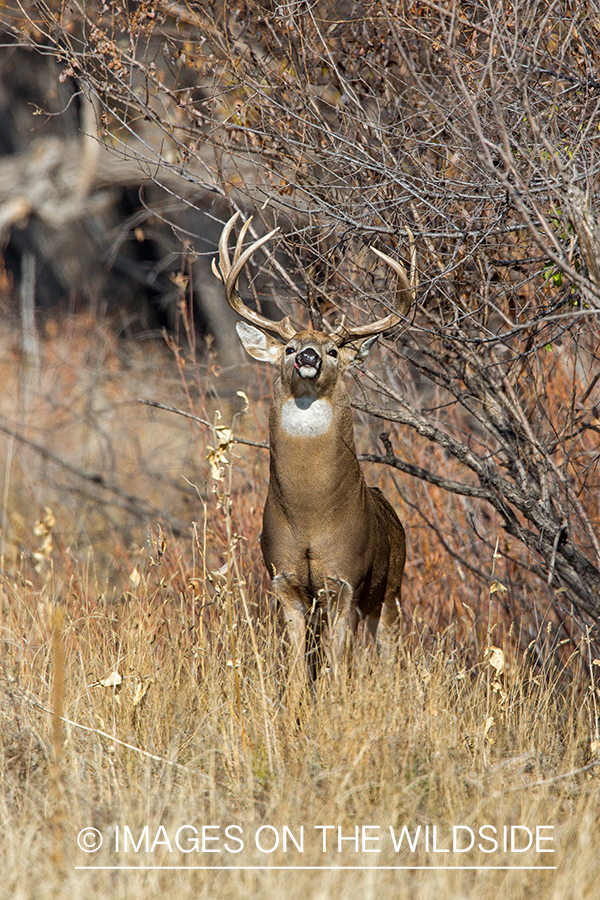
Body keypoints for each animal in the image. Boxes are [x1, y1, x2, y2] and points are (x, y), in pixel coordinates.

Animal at [212, 213, 418, 688]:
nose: (308, 355)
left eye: (334, 349)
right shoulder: (284, 582)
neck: (311, 514)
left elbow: (340, 668)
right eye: (288, 347)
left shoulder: (346, 580)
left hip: (392, 587)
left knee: (387, 651)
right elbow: (296, 669)